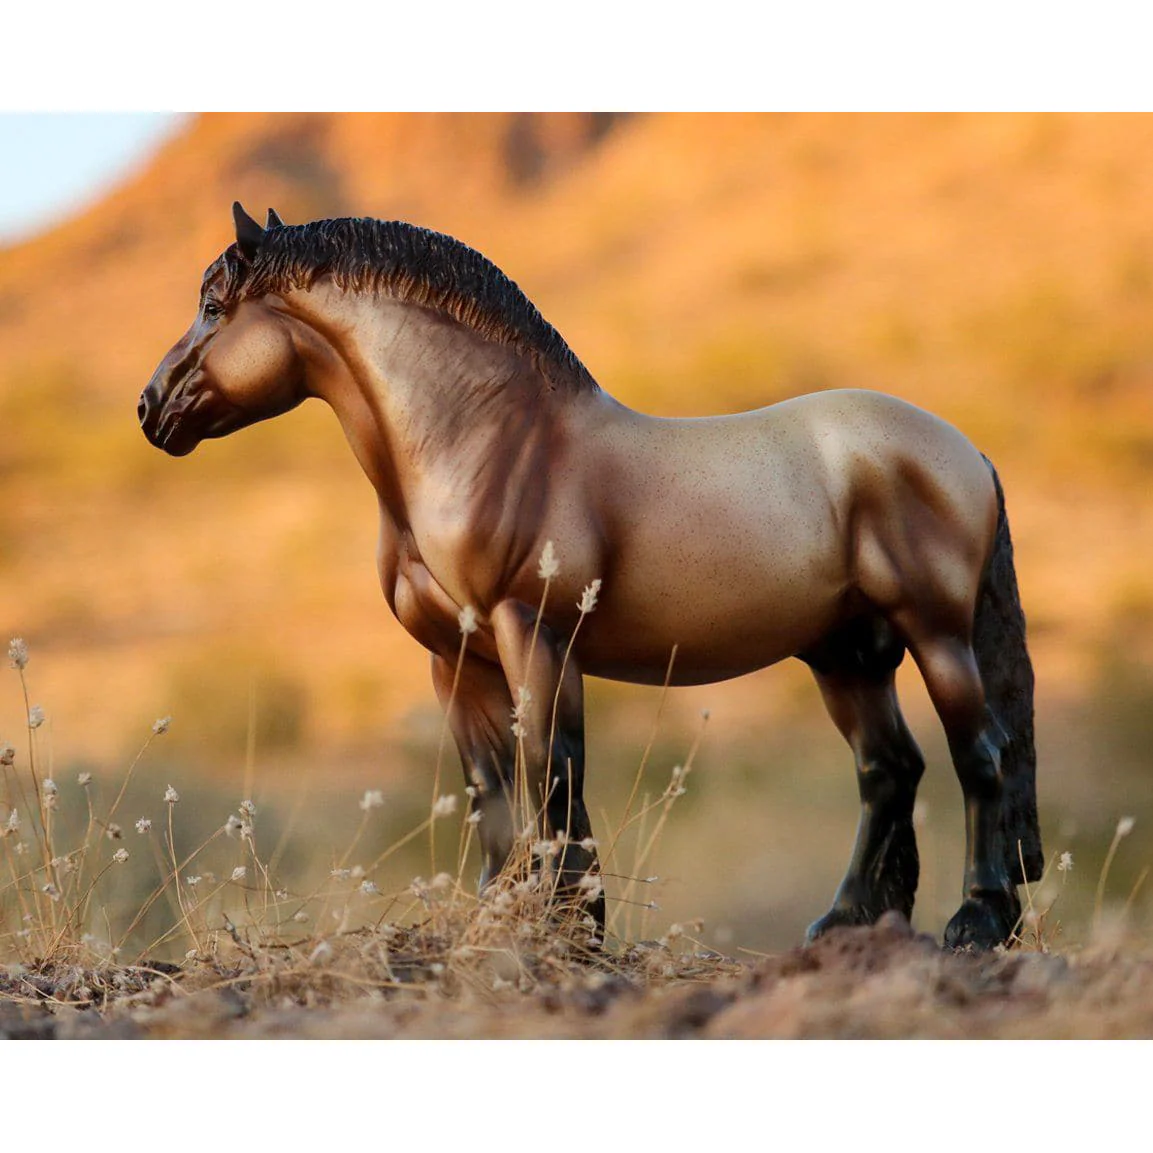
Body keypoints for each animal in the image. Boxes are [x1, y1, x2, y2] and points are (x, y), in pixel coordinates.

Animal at [139, 202, 1042, 950]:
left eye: (214, 308)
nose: (150, 409)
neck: (490, 441)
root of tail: (965, 449)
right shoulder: (451, 658)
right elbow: (490, 786)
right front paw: (503, 914)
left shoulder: (533, 631)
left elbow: (552, 767)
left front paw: (568, 922)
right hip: (844, 653)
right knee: (888, 769)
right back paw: (850, 919)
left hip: (935, 635)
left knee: (980, 755)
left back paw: (976, 921)